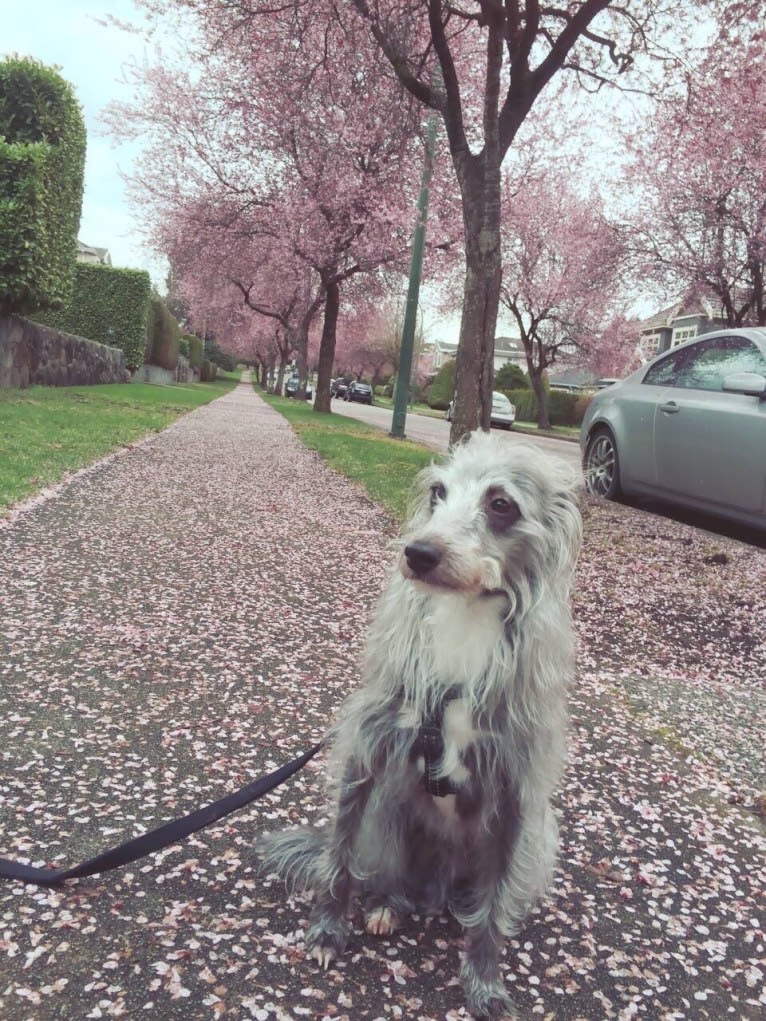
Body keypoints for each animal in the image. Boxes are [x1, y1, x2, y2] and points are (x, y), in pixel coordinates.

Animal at [261, 430, 584, 1021]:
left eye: (500, 502)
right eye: (438, 492)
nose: (418, 553)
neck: (466, 622)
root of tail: (438, 887)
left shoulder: (518, 796)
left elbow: (492, 919)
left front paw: (484, 980)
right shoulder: (366, 751)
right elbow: (340, 860)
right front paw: (328, 929)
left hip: (538, 838)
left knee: (484, 901)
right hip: (390, 814)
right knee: (385, 874)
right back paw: (390, 903)